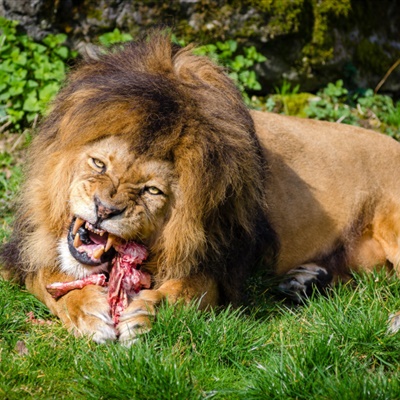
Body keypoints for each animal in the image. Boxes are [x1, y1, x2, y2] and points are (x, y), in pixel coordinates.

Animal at [2, 32, 400, 344]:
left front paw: (145, 314)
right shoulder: (24, 252)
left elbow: (183, 292)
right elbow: (49, 278)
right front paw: (88, 313)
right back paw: (305, 281)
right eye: (99, 164)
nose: (104, 210)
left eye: (152, 191)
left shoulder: (218, 268)